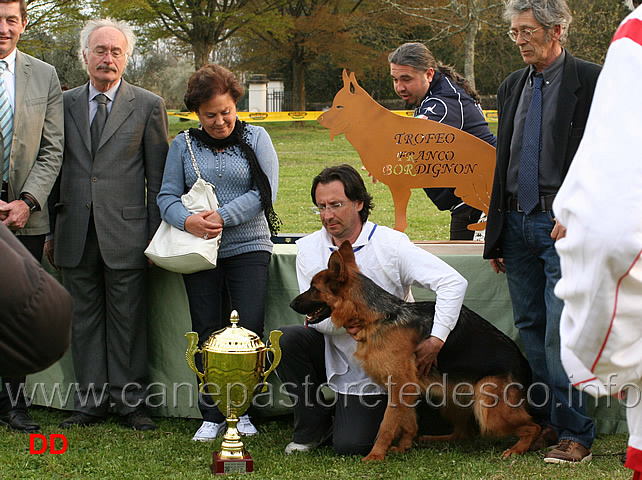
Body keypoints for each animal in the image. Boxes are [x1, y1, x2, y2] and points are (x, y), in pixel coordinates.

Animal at [290, 242, 540, 464]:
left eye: (313, 288)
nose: (292, 304)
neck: (379, 316)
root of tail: (524, 364)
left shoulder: (401, 385)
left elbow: (387, 425)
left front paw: (375, 456)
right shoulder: (405, 388)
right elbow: (407, 422)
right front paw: (403, 447)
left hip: (487, 408)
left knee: (534, 426)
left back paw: (517, 449)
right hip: (449, 397)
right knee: (465, 433)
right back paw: (436, 439)